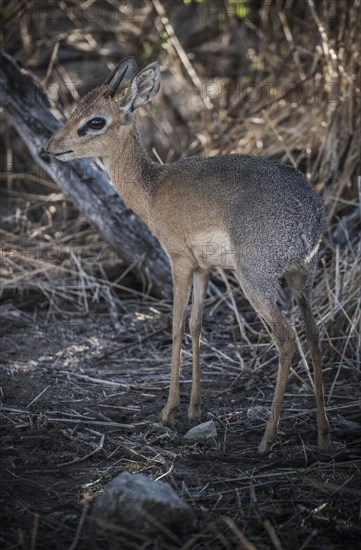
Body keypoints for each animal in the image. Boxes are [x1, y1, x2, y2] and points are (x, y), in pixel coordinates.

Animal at [46, 58, 330, 452]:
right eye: (77, 107)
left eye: (96, 120)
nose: (51, 145)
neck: (151, 188)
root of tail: (309, 212)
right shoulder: (204, 268)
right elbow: (196, 325)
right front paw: (194, 408)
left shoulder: (178, 261)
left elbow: (177, 325)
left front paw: (168, 410)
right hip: (302, 276)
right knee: (315, 335)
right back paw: (323, 433)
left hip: (256, 280)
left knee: (287, 338)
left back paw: (267, 438)